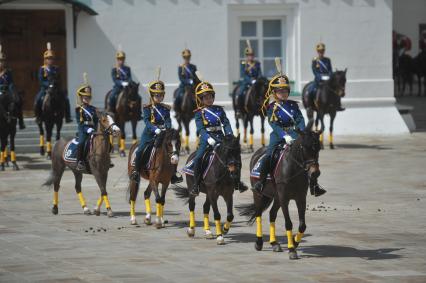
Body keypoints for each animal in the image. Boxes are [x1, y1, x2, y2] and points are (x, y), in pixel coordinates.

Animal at [236, 122, 320, 260]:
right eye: (303, 148)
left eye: (317, 148)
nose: (315, 173)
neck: (293, 168)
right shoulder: (284, 198)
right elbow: (288, 223)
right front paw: (291, 249)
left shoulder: (301, 198)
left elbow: (302, 225)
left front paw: (295, 242)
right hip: (259, 194)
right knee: (259, 214)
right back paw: (259, 242)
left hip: (276, 197)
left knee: (272, 214)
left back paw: (274, 243)